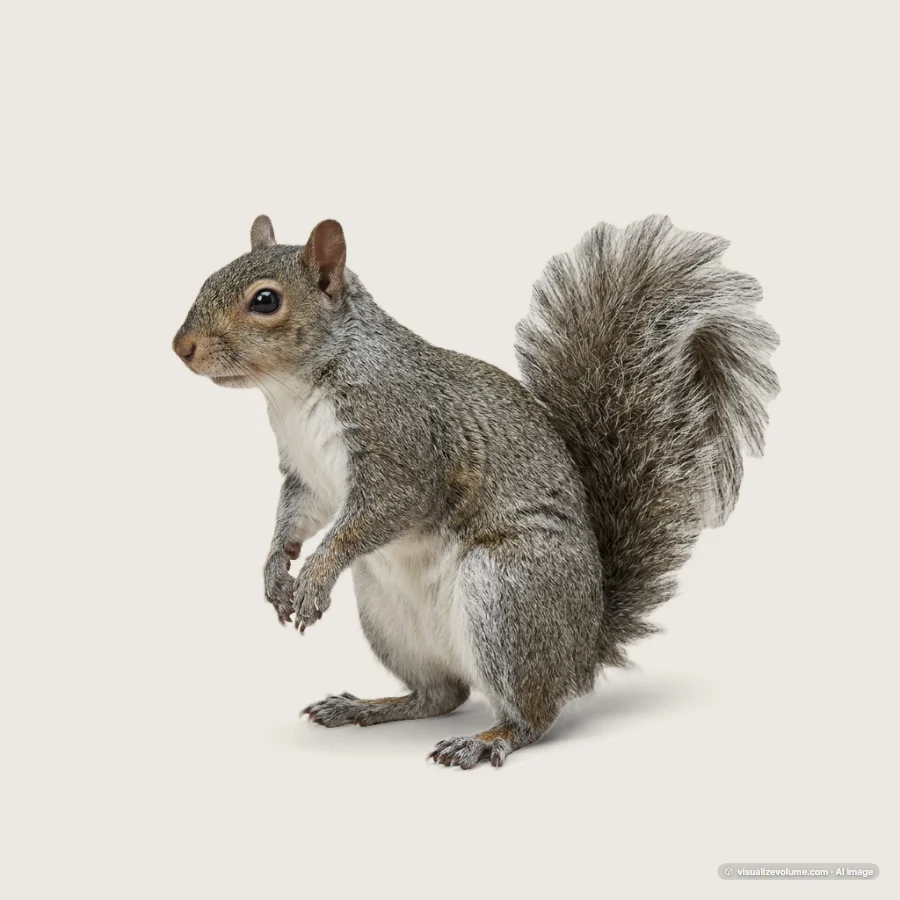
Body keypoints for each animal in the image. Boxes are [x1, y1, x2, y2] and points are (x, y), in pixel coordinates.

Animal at [172, 214, 778, 769]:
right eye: (207, 278)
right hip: (389, 616)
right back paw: (366, 707)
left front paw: (315, 577)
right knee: (442, 695)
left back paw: (487, 740)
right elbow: (296, 517)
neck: (295, 390)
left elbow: (375, 515)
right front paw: (276, 569)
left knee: (533, 715)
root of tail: (581, 650)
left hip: (506, 595)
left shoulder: (406, 453)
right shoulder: (305, 475)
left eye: (265, 300)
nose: (182, 347)